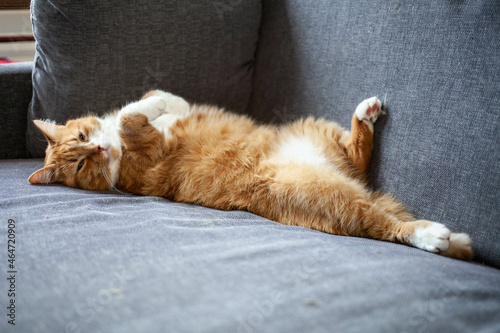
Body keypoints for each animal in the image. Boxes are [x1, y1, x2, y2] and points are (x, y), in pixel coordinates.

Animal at [29, 89, 474, 260]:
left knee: (358, 157)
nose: (99, 150)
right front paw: (149, 110)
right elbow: (129, 116)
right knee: (381, 221)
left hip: (320, 134)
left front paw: (169, 102)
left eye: (83, 138)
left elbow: (153, 102)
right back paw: (432, 235)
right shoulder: (150, 152)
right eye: (82, 165)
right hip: (330, 196)